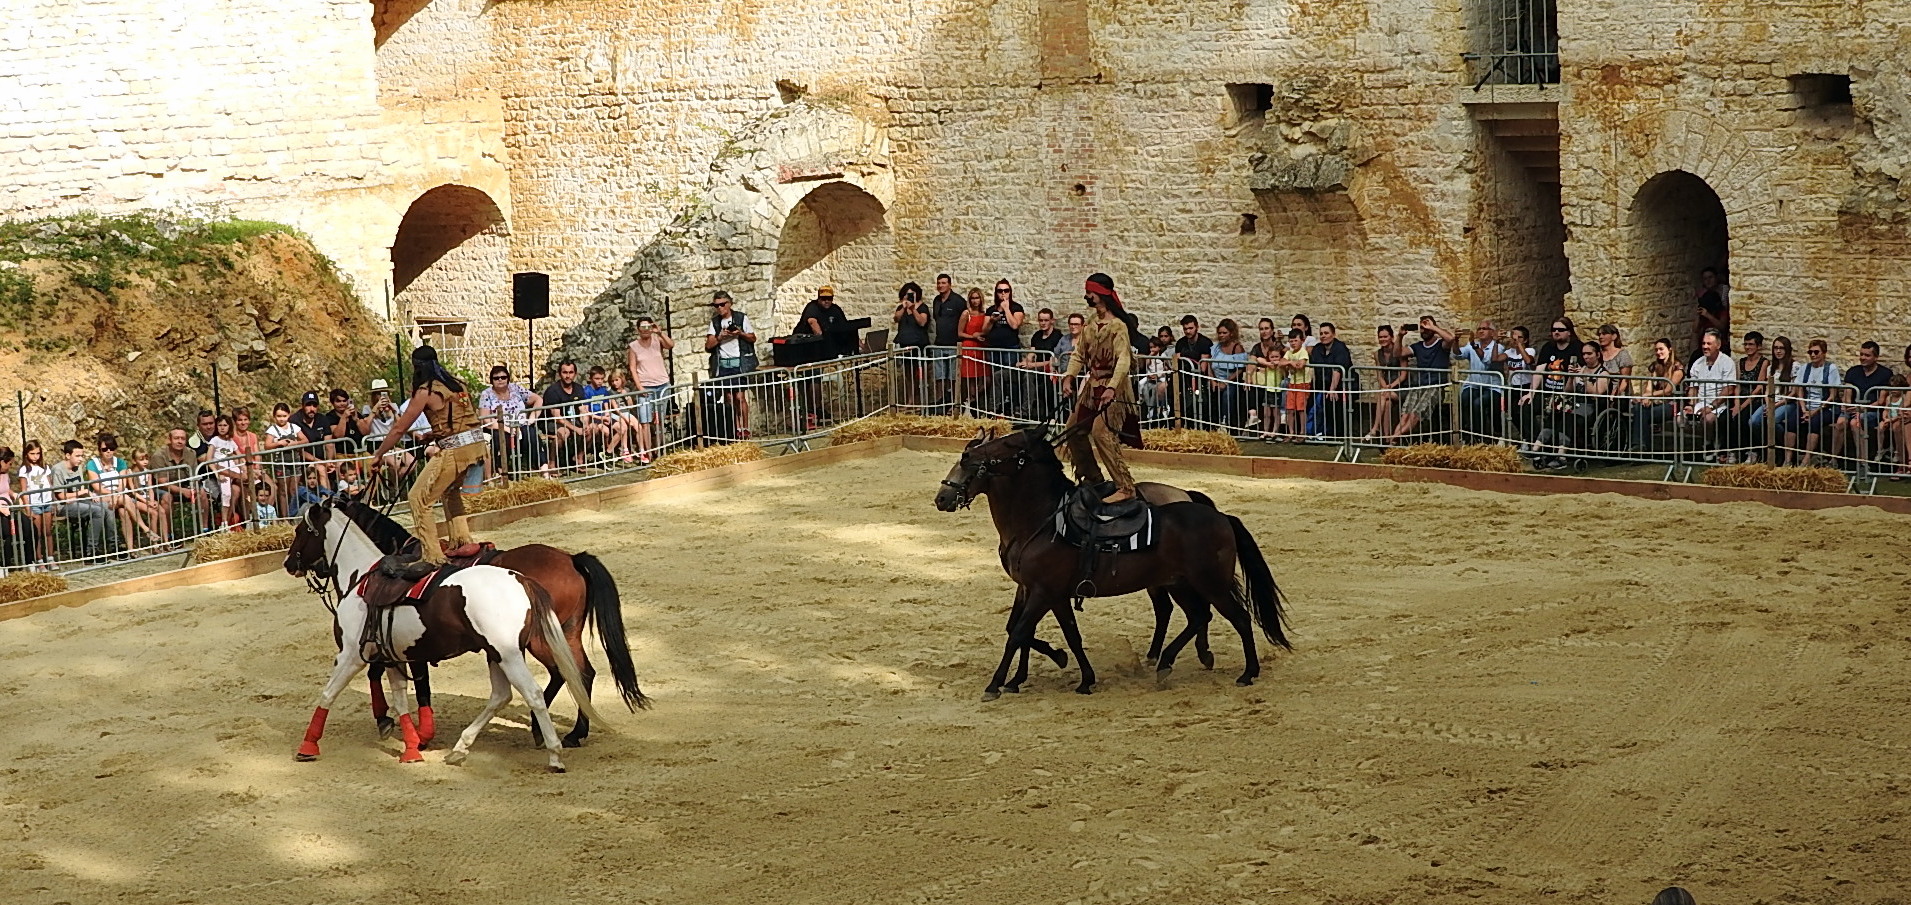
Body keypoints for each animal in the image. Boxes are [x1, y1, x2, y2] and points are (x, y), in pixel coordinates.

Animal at [286, 497, 649, 749]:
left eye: (301, 531)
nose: (289, 562)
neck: (365, 573)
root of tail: (571, 559)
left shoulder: (373, 649)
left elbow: (407, 686)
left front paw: (395, 724)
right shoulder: (397, 649)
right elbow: (402, 683)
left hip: (539, 641)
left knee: (562, 673)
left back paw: (543, 727)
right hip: (567, 633)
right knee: (582, 672)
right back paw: (574, 731)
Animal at [934, 426, 1291, 699]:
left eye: (1007, 444)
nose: (942, 497)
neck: (1043, 521)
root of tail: (1221, 516)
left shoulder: (1043, 591)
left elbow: (1019, 632)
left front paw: (997, 683)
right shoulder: (1041, 592)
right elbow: (1057, 633)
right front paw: (1075, 675)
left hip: (1210, 584)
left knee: (1238, 618)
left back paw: (1246, 672)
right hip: (1180, 583)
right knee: (1197, 616)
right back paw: (1166, 662)